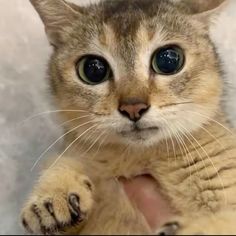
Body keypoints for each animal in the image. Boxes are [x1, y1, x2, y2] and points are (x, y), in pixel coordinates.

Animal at [19, 0, 236, 234]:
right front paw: (52, 195)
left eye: (168, 60)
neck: (139, 156)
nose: (133, 108)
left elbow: (223, 220)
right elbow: (63, 159)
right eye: (93, 69)